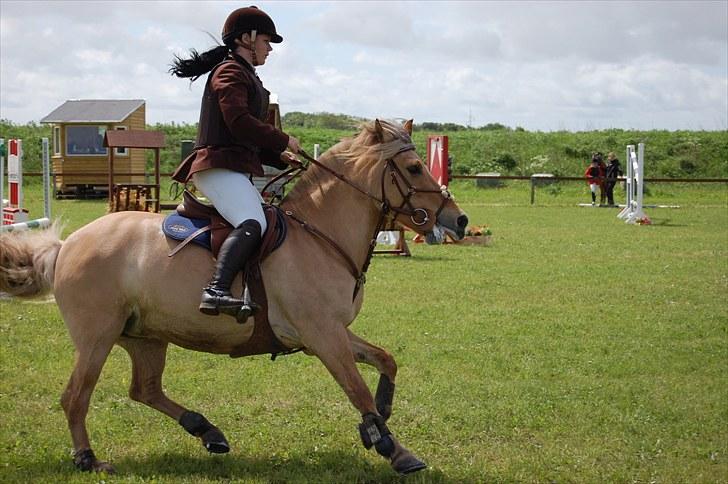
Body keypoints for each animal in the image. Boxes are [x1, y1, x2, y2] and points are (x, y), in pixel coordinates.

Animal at [0, 119, 468, 475]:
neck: (322, 236)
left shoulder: (331, 332)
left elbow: (386, 360)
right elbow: (357, 390)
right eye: (413, 168)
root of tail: (66, 245)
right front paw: (393, 447)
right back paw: (88, 458)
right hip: (97, 338)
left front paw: (383, 416)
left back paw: (208, 432)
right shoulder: (322, 335)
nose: (458, 220)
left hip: (145, 336)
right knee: (76, 396)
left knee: (144, 390)